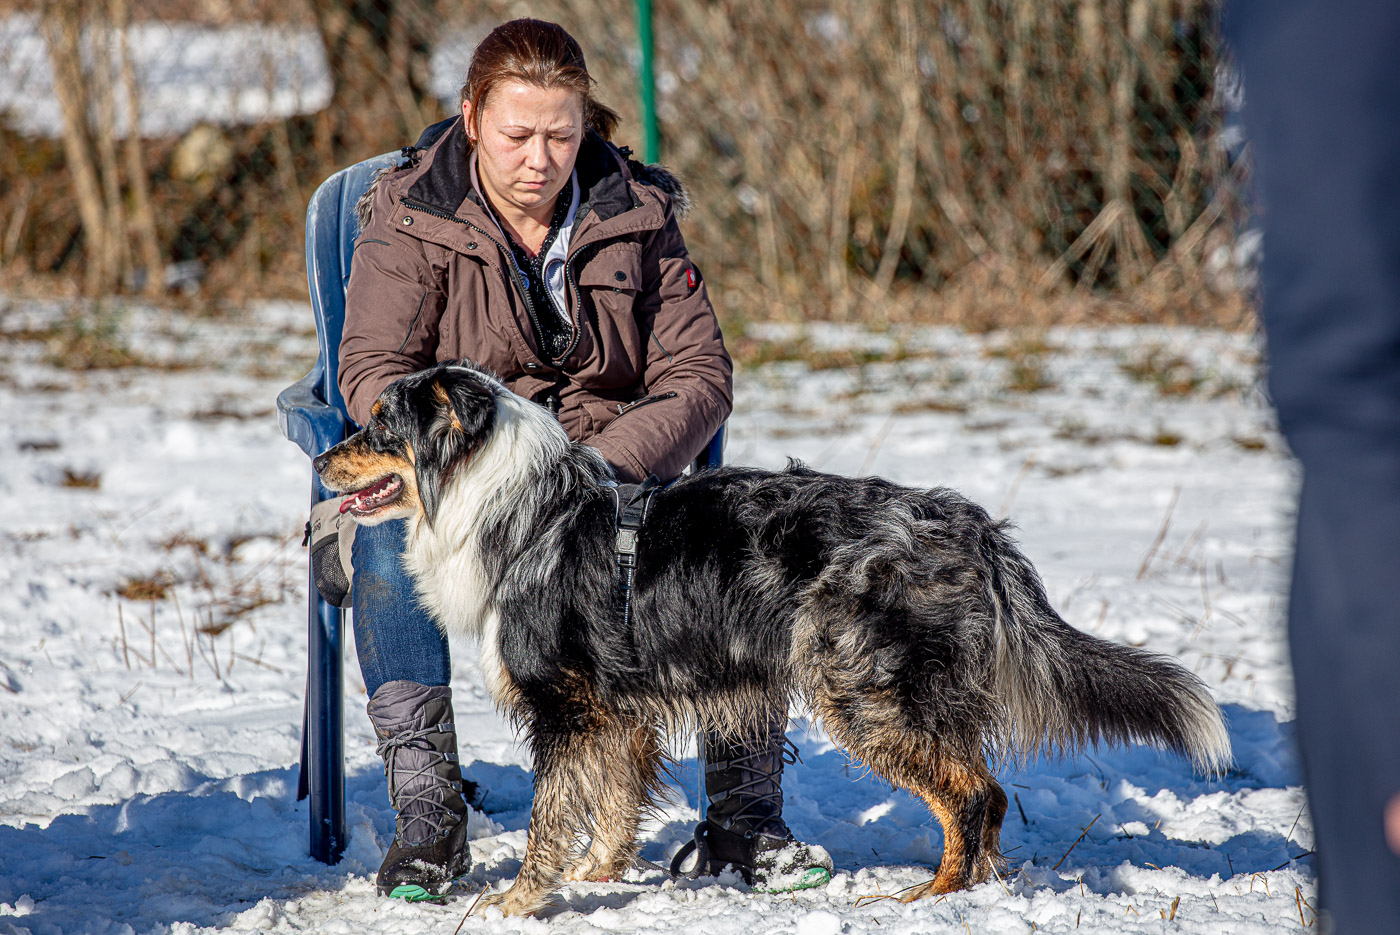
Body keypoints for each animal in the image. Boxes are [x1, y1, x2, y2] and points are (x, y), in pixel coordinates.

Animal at [315, 361, 1226, 918]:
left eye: (379, 425)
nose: (322, 462)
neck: (504, 501)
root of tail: (972, 528)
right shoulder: (619, 710)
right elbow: (611, 804)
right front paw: (597, 876)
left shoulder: (567, 707)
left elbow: (549, 815)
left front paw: (515, 903)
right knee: (986, 791)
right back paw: (967, 889)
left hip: (864, 693)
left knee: (972, 793)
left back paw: (929, 898)